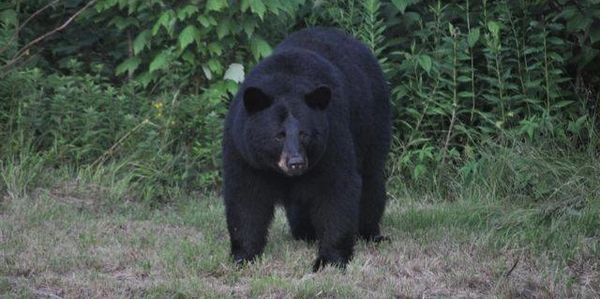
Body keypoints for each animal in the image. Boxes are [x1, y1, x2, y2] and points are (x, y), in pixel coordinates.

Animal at [223, 27, 392, 272]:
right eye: (278, 136)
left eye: (305, 134)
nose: (296, 162)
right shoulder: (243, 150)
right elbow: (245, 196)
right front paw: (243, 256)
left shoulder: (333, 135)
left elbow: (337, 188)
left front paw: (329, 259)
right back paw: (305, 233)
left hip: (372, 121)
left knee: (372, 178)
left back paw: (370, 233)